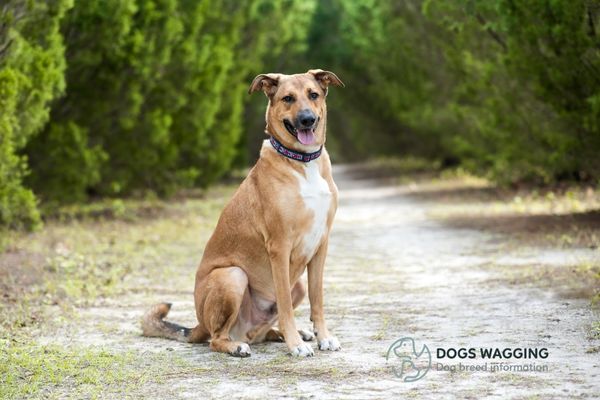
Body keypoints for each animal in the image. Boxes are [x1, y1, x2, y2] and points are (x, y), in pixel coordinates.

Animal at [141, 68, 344, 356]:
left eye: (313, 95)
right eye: (288, 98)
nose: (307, 120)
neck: (303, 163)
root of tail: (199, 323)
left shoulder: (321, 245)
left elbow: (318, 300)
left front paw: (322, 336)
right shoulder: (279, 247)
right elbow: (284, 305)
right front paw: (295, 345)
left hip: (297, 286)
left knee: (260, 333)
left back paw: (288, 334)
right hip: (233, 276)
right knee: (216, 338)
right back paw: (239, 346)